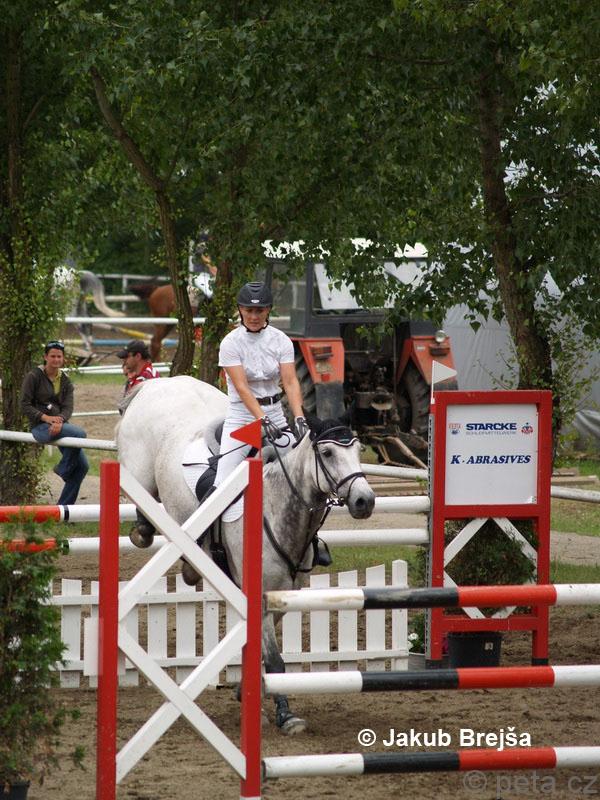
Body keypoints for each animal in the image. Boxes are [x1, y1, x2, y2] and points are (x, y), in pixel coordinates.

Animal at [116, 375, 375, 734]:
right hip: (138, 474)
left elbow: (257, 650)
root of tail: (160, 382)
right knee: (142, 509)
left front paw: (247, 691)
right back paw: (147, 534)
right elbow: (276, 661)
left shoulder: (283, 595)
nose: (365, 501)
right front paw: (286, 716)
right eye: (327, 452)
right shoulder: (261, 598)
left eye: (358, 449)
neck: (278, 506)